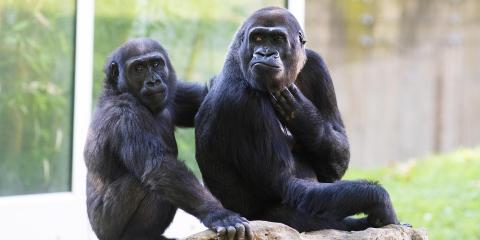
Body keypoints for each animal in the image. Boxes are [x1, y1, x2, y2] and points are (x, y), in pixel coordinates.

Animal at [84, 39, 253, 240]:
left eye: (156, 64)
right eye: (138, 68)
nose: (153, 81)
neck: (118, 91)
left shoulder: (176, 91)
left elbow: (207, 94)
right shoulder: (126, 114)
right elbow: (159, 167)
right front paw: (218, 214)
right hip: (107, 227)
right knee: (143, 184)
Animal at [195, 7, 402, 232]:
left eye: (277, 39)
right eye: (257, 38)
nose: (265, 53)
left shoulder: (316, 63)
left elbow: (336, 157)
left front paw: (304, 116)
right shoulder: (241, 100)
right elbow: (288, 185)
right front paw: (378, 200)